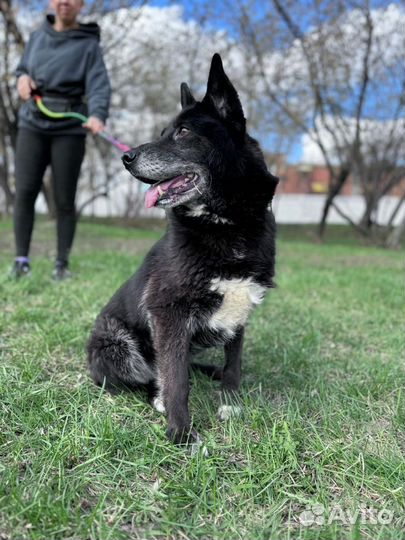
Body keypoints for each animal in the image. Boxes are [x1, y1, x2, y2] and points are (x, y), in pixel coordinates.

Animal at [87, 52, 278, 446]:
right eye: (162, 133)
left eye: (183, 132)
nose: (126, 158)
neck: (226, 223)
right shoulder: (167, 314)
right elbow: (176, 380)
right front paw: (181, 434)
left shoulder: (241, 311)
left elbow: (234, 364)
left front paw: (230, 403)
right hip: (118, 346)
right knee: (142, 377)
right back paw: (157, 398)